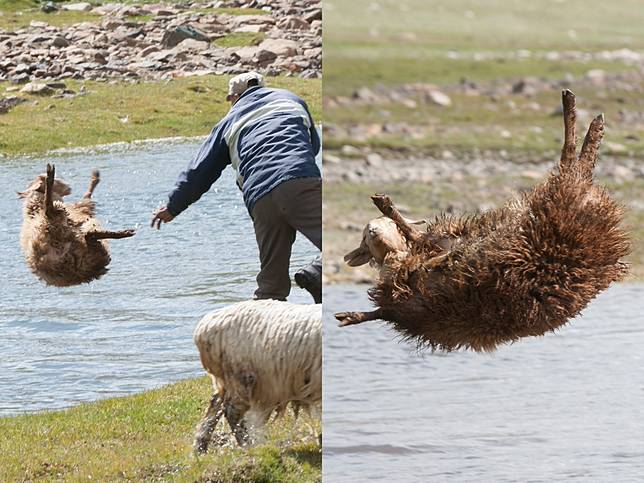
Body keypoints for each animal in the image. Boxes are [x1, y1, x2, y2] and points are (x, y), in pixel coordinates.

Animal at [191, 298, 322, 454]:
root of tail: (203, 327)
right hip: (240, 376)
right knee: (232, 412)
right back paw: (248, 445)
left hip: (226, 379)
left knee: (215, 406)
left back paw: (200, 448)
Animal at [334, 91, 632, 354]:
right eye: (365, 235)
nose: (373, 230)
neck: (397, 255)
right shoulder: (409, 305)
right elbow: (377, 312)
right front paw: (348, 316)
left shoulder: (430, 250)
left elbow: (413, 235)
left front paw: (386, 204)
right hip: (561, 209)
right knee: (576, 164)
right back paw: (591, 123)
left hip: (560, 205)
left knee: (571, 160)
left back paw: (582, 115)